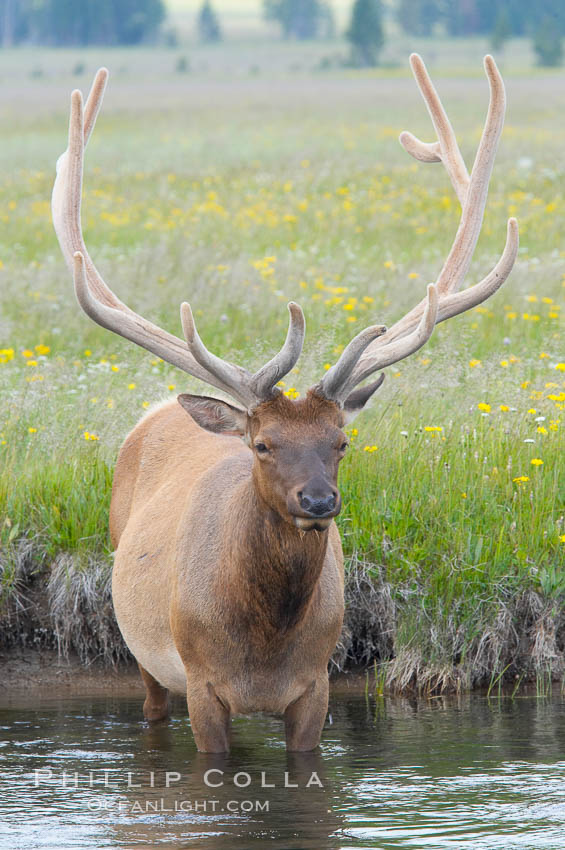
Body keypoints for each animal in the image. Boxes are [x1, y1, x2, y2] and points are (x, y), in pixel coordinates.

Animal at [51, 58, 516, 748]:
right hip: (143, 653)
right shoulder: (202, 684)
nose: (318, 500)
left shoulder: (316, 685)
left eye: (341, 441)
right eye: (263, 444)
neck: (263, 647)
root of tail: (157, 410)